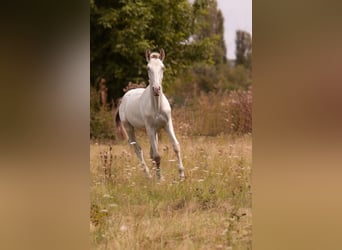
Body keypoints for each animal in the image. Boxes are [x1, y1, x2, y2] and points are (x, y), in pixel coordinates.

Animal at [115, 48, 184, 180]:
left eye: (163, 67)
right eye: (148, 68)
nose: (156, 89)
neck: (157, 106)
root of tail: (124, 99)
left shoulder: (167, 124)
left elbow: (176, 146)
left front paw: (182, 175)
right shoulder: (150, 127)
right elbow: (157, 155)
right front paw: (159, 178)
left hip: (154, 131)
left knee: (150, 152)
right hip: (130, 128)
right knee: (138, 150)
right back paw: (148, 175)